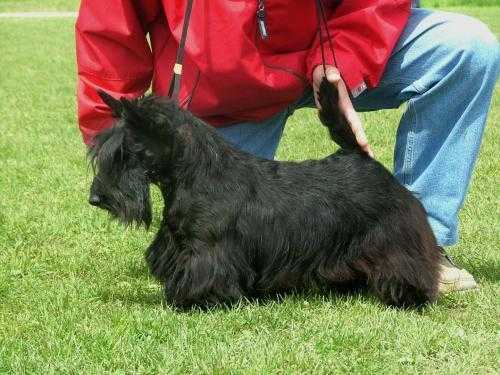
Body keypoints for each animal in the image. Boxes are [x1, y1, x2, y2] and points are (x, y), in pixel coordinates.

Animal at [88, 79, 440, 308]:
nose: (96, 199)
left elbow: (206, 274)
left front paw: (199, 301)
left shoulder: (207, 248)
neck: (196, 175)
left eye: (125, 153)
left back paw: (408, 296)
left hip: (393, 237)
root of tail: (361, 157)